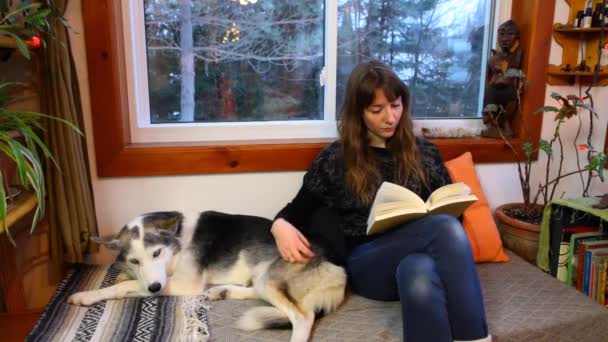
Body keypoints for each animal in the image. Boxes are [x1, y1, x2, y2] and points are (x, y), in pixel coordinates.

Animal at [67, 211, 346, 342]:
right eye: (135, 260)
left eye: (156, 253)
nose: (155, 289)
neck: (177, 242)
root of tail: (337, 262)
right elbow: (127, 280)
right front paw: (121, 276)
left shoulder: (183, 284)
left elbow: (123, 287)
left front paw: (85, 295)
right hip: (262, 278)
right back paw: (222, 291)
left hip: (271, 280)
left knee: (303, 317)